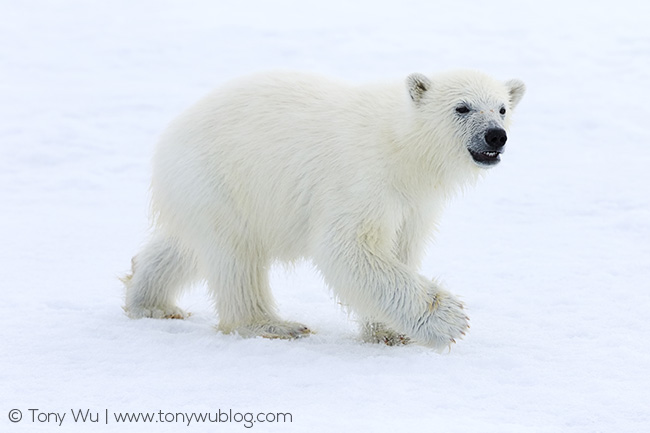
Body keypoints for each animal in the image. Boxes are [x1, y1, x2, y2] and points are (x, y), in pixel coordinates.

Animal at [124, 69, 524, 350]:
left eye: (502, 108)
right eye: (462, 107)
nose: (495, 135)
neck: (402, 148)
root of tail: (169, 135)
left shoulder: (413, 204)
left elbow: (401, 247)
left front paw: (390, 332)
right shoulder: (363, 180)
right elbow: (349, 247)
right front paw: (449, 320)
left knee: (187, 247)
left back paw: (149, 300)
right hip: (221, 179)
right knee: (235, 256)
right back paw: (272, 325)